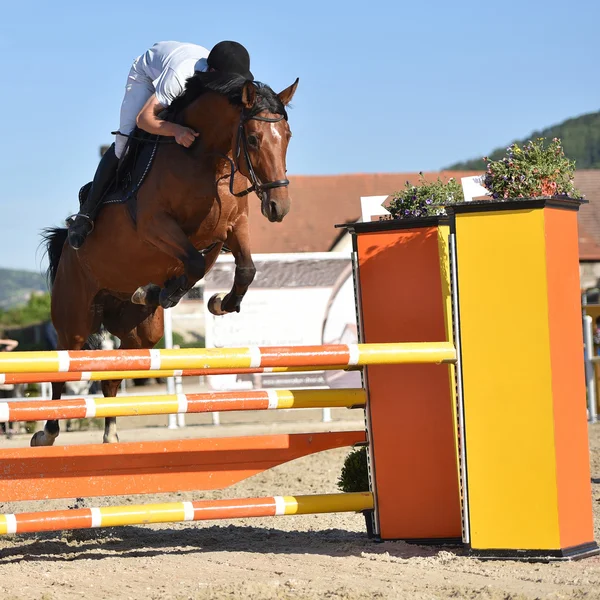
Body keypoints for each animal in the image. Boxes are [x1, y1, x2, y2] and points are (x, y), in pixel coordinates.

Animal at [31, 71, 298, 446]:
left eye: (287, 136)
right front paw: (166, 291)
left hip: (140, 333)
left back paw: (111, 431)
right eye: (254, 138)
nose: (278, 207)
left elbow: (244, 268)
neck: (206, 159)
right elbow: (196, 262)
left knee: (114, 372)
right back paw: (48, 430)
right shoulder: (155, 225)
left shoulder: (235, 226)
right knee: (64, 365)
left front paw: (217, 301)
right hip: (74, 320)